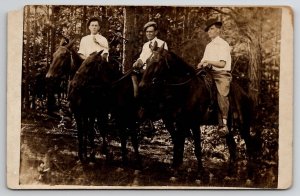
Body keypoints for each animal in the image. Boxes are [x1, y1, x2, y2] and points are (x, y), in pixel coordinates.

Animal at [139, 43, 258, 181]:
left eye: (157, 62)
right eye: (147, 60)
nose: (142, 85)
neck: (187, 89)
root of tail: (246, 95)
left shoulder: (194, 123)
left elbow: (197, 148)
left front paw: (199, 174)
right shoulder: (181, 123)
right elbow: (178, 145)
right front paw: (175, 171)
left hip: (244, 126)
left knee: (249, 147)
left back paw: (250, 176)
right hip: (229, 127)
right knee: (232, 148)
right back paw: (229, 175)